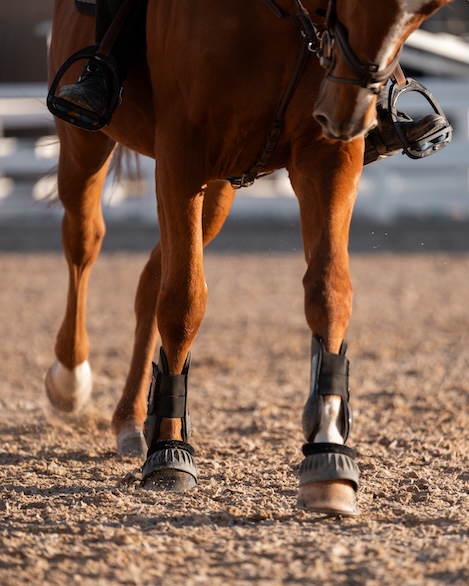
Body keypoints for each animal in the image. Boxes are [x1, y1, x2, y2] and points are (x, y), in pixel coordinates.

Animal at [45, 0, 448, 512]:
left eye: (422, 13)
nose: (346, 109)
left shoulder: (326, 156)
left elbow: (329, 291)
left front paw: (329, 456)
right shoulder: (181, 157)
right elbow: (183, 304)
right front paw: (169, 452)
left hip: (218, 191)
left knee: (149, 284)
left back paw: (130, 420)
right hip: (86, 145)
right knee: (84, 241)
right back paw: (70, 379)